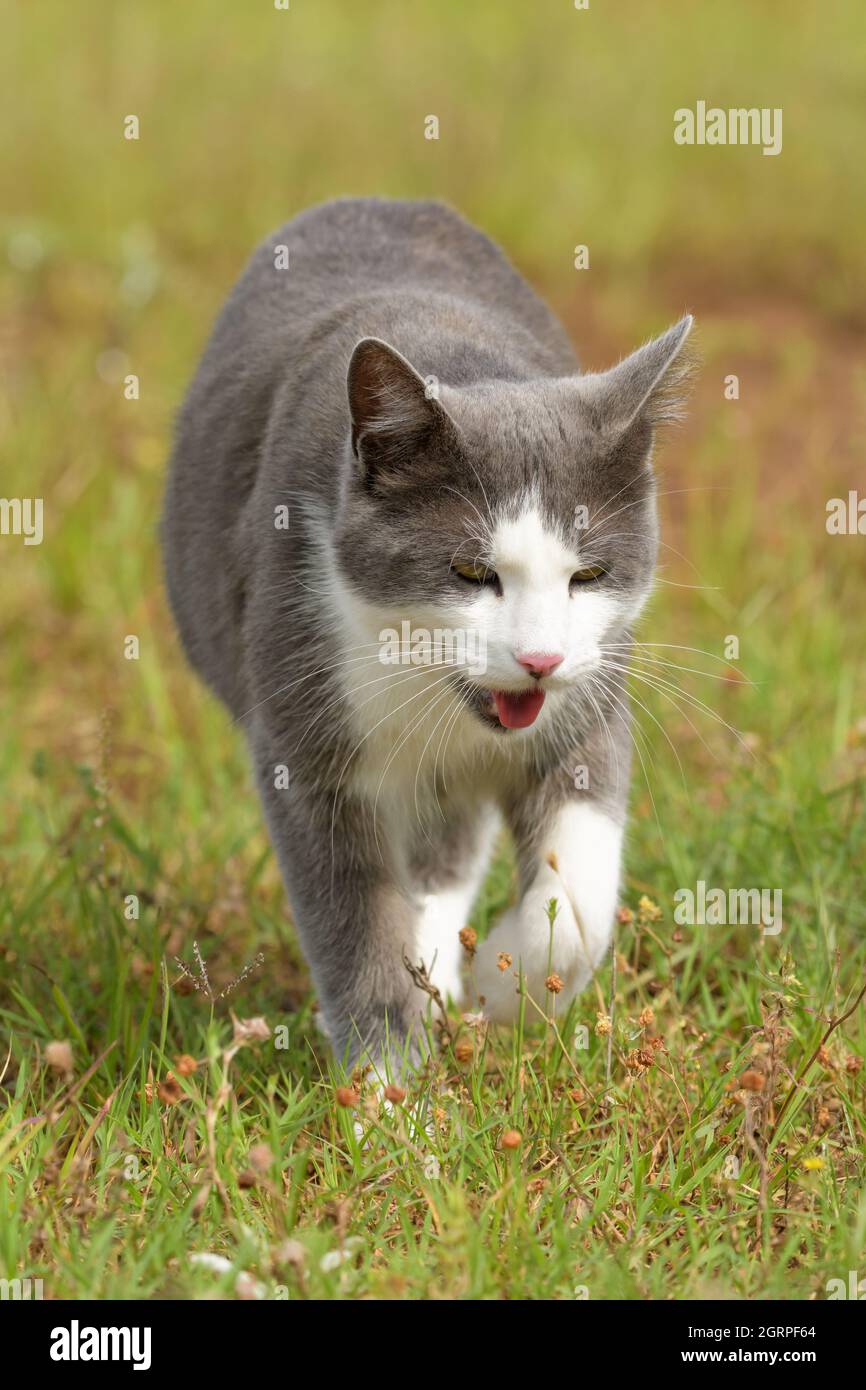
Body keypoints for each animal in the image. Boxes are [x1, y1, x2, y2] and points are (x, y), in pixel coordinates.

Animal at [161, 195, 692, 1067]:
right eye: (471, 571)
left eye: (588, 575)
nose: (539, 658)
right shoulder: (305, 735)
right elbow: (353, 916)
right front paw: (387, 1085)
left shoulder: (595, 692)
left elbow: (581, 874)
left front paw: (508, 986)